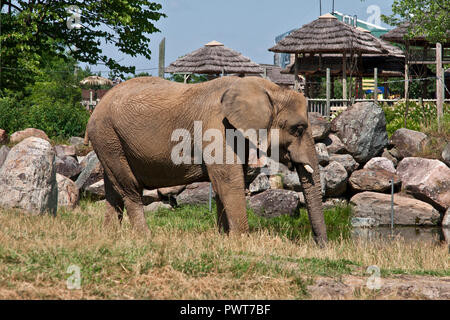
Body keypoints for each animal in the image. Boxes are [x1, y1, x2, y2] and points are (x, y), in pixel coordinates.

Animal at [88, 76, 326, 244]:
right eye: (298, 129)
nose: (319, 244)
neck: (267, 88)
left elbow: (224, 183)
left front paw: (224, 238)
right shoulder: (217, 127)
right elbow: (229, 181)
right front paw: (241, 241)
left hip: (108, 142)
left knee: (113, 188)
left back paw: (109, 236)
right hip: (107, 136)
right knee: (129, 188)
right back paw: (145, 237)